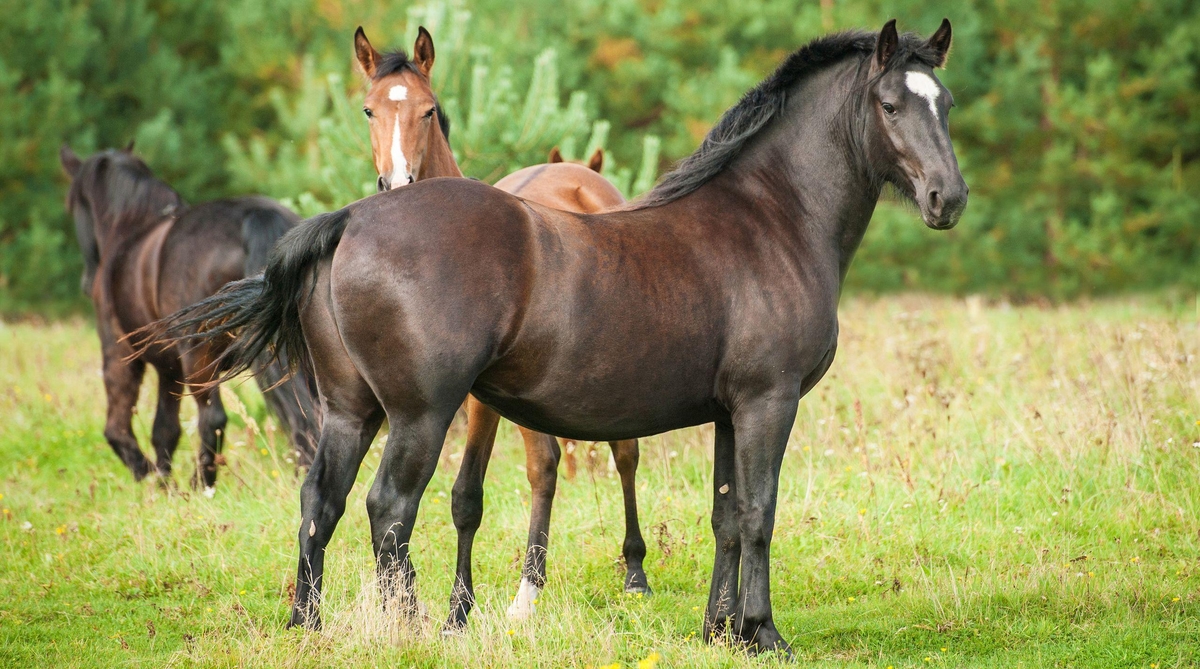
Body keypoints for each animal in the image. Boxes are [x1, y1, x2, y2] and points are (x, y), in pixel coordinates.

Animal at [58, 146, 321, 493]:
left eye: (73, 203)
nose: (87, 283)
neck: (131, 227)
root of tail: (258, 217)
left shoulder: (121, 354)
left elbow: (118, 427)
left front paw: (148, 475)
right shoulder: (169, 369)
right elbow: (165, 430)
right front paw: (163, 481)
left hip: (199, 356)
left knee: (215, 418)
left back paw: (202, 484)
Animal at [162, 19, 964, 657]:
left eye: (945, 103)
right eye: (889, 104)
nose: (947, 198)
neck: (769, 217)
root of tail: (352, 218)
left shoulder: (731, 412)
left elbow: (727, 516)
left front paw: (720, 630)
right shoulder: (770, 402)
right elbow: (759, 513)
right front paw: (763, 634)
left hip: (351, 412)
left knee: (319, 504)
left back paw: (309, 627)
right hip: (420, 414)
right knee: (388, 510)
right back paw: (417, 627)